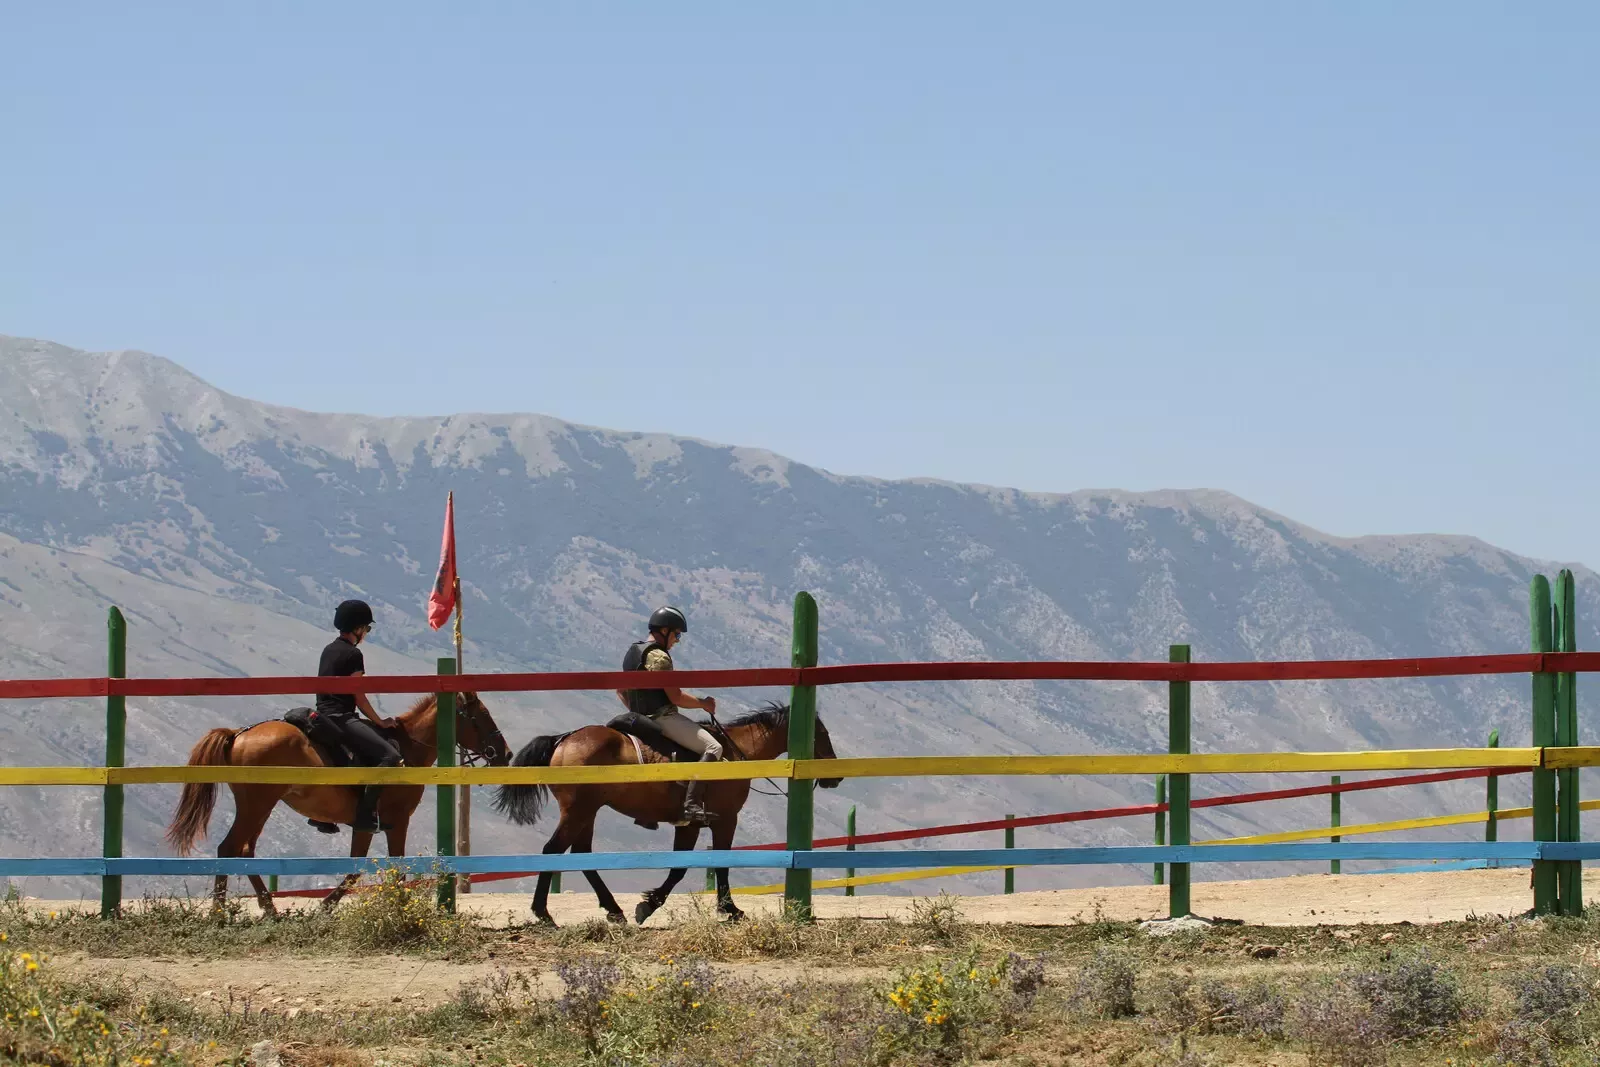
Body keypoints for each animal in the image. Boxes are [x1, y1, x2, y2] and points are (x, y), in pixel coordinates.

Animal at [161, 697, 499, 915]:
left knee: (245, 851)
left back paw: (269, 908)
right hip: (257, 805)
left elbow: (357, 868)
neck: (407, 750)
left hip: (257, 807)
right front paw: (398, 910)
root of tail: (238, 735)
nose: (504, 752)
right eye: (482, 716)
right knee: (229, 848)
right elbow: (389, 869)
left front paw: (326, 907)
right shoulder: (394, 821)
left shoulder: (366, 825)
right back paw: (219, 913)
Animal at [489, 700, 838, 927]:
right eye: (822, 734)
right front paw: (727, 909)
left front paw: (651, 904)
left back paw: (613, 909)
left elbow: (684, 866)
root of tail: (564, 739)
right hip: (578, 811)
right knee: (553, 851)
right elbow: (708, 866)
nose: (834, 776)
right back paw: (543, 913)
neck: (737, 754)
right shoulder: (722, 820)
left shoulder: (689, 825)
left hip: (586, 813)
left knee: (581, 855)